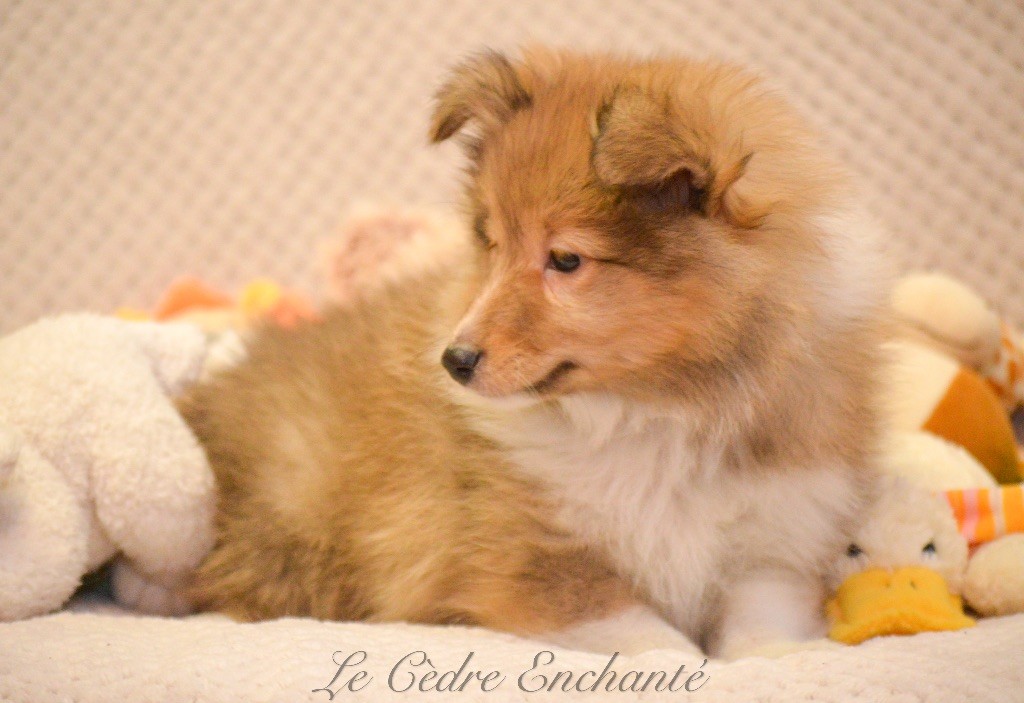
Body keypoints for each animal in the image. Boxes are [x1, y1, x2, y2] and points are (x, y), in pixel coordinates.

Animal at [181, 47, 890, 658]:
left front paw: (777, 662)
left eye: (566, 260)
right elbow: (653, 637)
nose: (454, 361)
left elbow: (761, 628)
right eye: (491, 242)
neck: (652, 412)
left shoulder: (773, 540)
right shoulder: (529, 557)